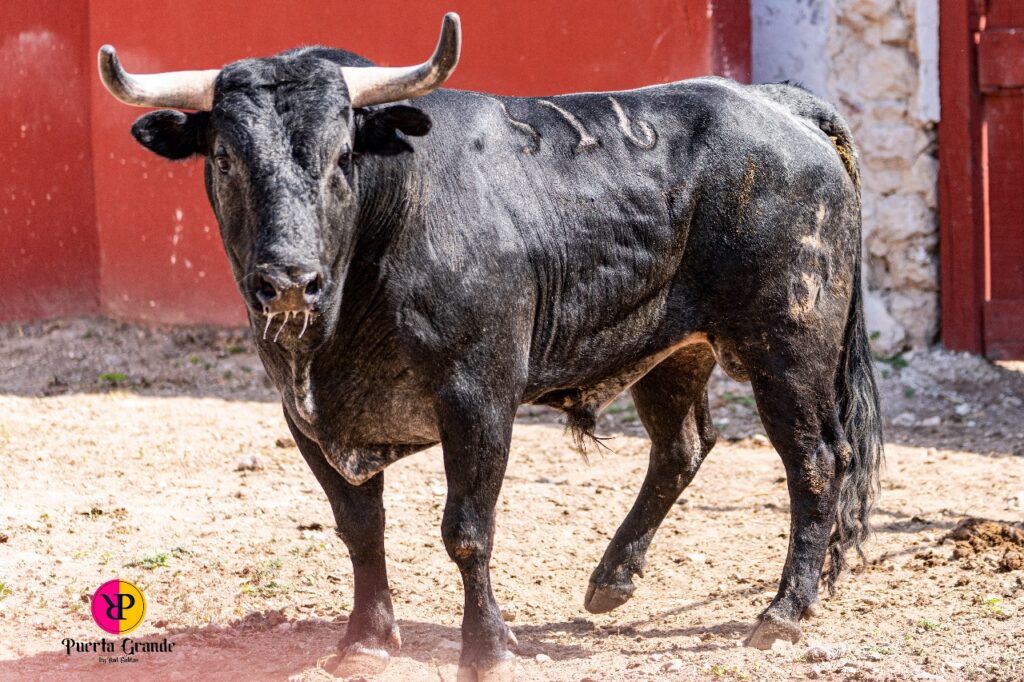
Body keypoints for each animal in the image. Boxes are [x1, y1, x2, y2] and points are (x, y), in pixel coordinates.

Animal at [108, 35, 884, 679]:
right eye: (225, 158)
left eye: (342, 156)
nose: (291, 282)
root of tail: (777, 102)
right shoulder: (306, 415)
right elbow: (360, 528)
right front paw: (365, 642)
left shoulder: (478, 397)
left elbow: (466, 530)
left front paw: (487, 649)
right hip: (673, 351)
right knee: (683, 446)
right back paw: (611, 581)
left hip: (789, 343)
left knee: (816, 461)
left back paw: (782, 613)